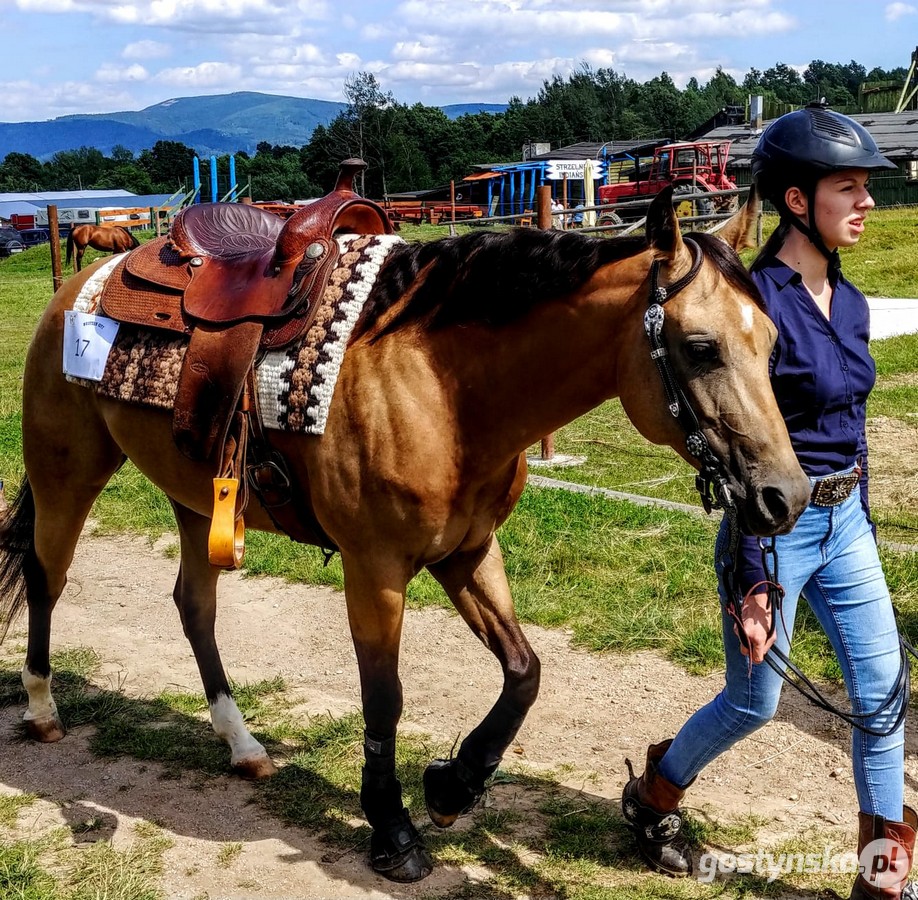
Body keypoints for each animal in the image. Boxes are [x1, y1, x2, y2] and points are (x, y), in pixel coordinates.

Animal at [0, 167, 812, 880]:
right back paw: (41, 706)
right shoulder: (376, 569)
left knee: (193, 607)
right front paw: (392, 830)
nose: (787, 495)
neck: (442, 385)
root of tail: (78, 286)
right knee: (46, 575)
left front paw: (454, 785)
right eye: (701, 348)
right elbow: (384, 699)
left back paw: (242, 744)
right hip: (68, 475)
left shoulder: (469, 553)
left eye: (774, 342)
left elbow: (524, 672)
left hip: (197, 500)